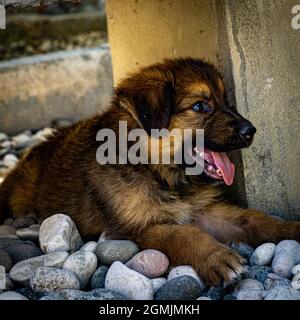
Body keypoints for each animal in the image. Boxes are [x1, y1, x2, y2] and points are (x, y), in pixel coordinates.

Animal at [0, 58, 300, 284]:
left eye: (226, 102)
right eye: (200, 106)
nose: (251, 130)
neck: (158, 172)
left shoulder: (205, 212)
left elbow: (253, 219)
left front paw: (290, 228)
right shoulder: (138, 227)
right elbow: (183, 235)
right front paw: (217, 257)